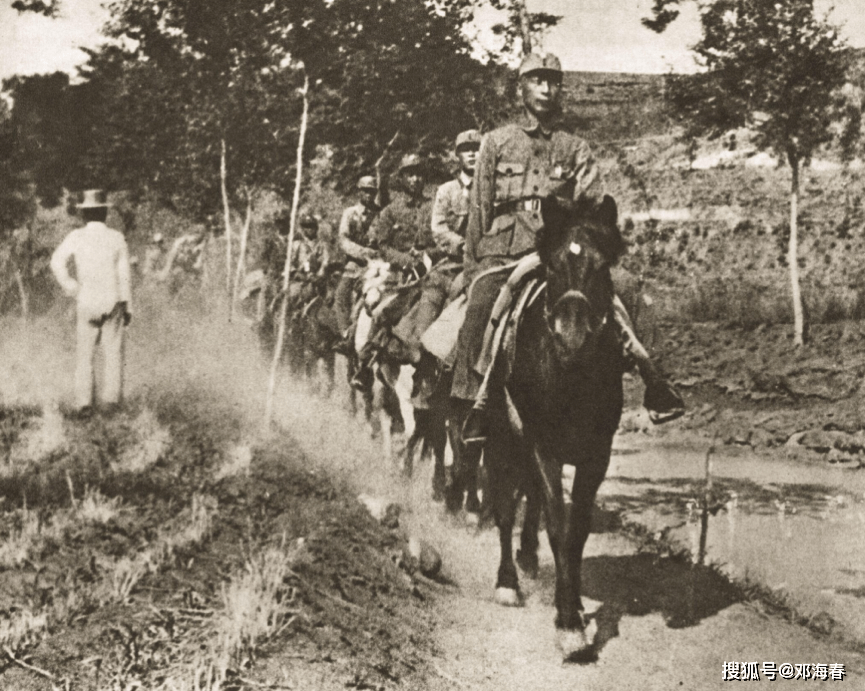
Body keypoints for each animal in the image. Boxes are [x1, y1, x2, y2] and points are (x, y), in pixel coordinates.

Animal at [482, 192, 624, 664]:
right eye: (553, 267)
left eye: (602, 266)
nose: (571, 339)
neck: (572, 376)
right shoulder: (543, 445)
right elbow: (558, 526)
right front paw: (568, 625)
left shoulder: (597, 454)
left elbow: (576, 531)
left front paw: (575, 607)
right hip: (500, 437)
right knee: (504, 507)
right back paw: (508, 581)